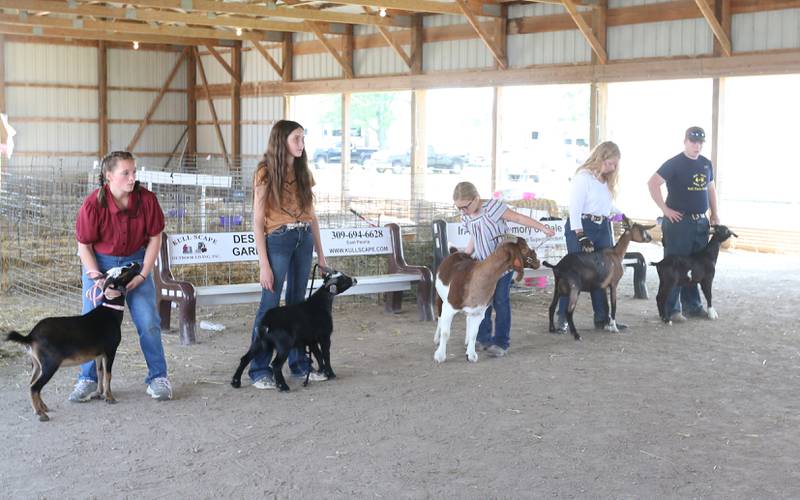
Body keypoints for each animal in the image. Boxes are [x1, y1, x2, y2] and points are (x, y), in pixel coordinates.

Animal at [4, 262, 141, 422]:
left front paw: (99, 393)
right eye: (123, 272)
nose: (137, 264)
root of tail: (30, 335)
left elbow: (99, 372)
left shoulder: (98, 354)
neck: (110, 313)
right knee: (35, 387)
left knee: (31, 383)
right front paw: (109, 397)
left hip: (36, 364)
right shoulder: (110, 351)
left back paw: (42, 408)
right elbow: (108, 374)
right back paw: (41, 414)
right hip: (50, 364)